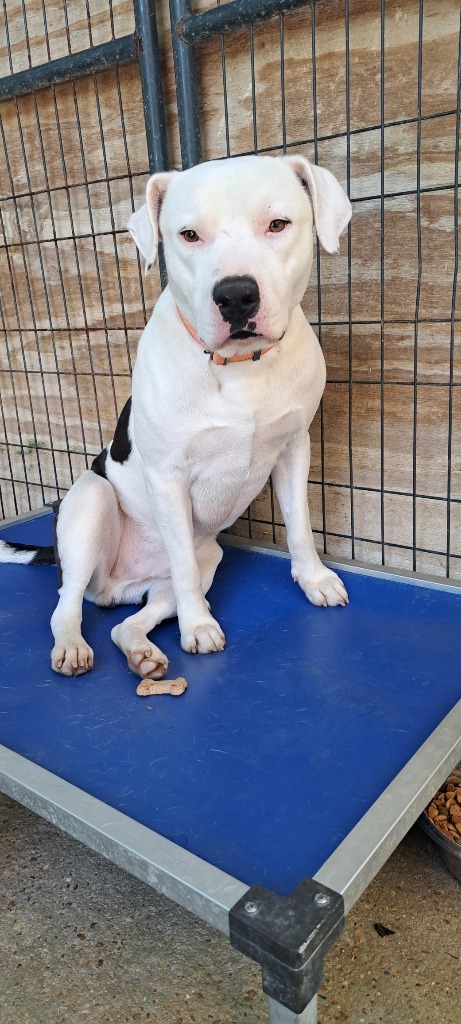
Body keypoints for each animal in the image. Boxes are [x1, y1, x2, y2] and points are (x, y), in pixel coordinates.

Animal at [0, 153, 350, 679]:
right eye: (189, 235)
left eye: (277, 224)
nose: (236, 295)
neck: (239, 366)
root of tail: (119, 587)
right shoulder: (167, 478)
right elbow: (181, 561)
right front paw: (198, 629)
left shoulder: (293, 450)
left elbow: (300, 526)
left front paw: (313, 578)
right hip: (92, 503)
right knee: (68, 604)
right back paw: (75, 646)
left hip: (207, 558)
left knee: (129, 623)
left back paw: (143, 651)